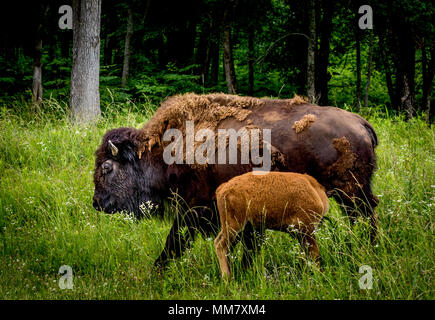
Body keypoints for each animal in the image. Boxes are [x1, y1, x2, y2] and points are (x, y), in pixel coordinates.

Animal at [93, 93, 380, 270]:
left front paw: (157, 270)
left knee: (364, 218)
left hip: (352, 193)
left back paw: (365, 250)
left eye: (107, 167)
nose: (97, 203)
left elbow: (174, 241)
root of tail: (360, 122)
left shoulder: (195, 209)